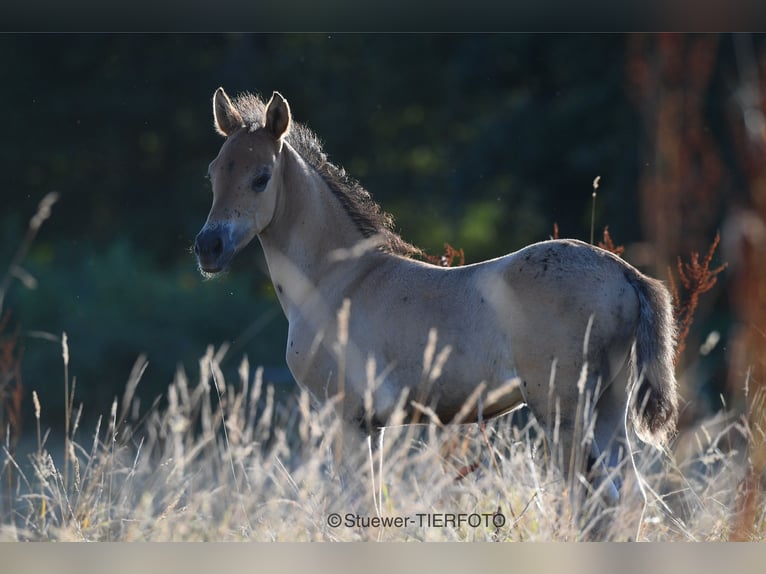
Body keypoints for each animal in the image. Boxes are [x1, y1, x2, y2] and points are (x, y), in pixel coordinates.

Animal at [195, 89, 680, 536]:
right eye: (213, 172)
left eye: (261, 177)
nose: (208, 247)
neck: (338, 279)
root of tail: (625, 273)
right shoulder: (372, 426)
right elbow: (370, 509)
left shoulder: (345, 416)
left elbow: (356, 509)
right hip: (609, 404)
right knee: (630, 497)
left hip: (565, 411)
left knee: (598, 499)